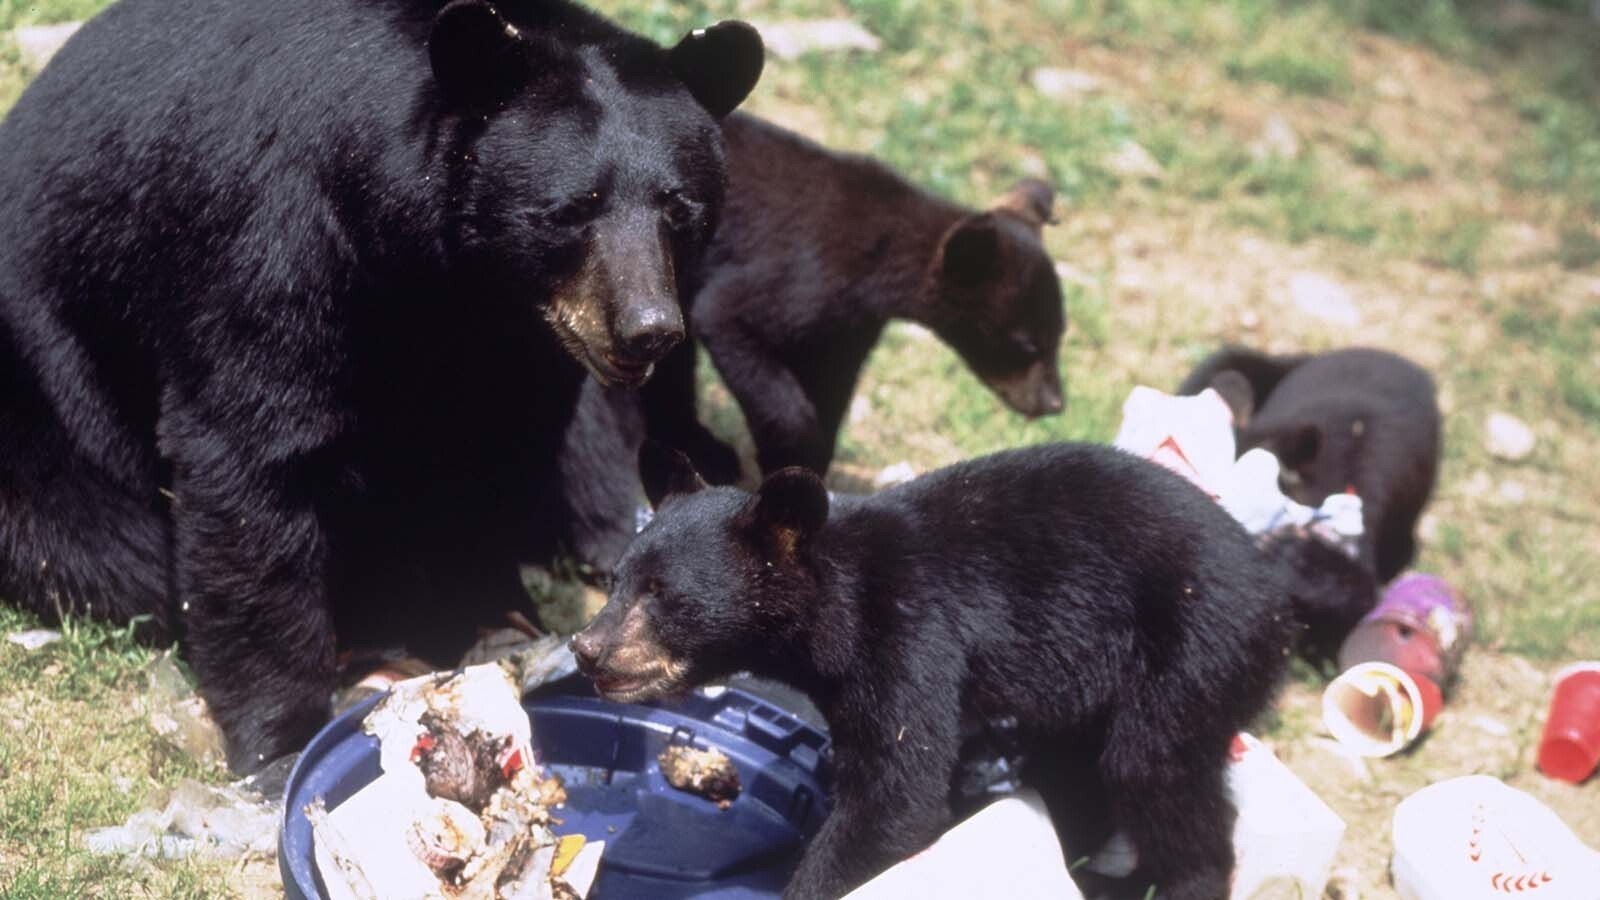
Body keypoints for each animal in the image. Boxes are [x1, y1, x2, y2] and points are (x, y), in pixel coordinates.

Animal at [0, 0, 761, 771]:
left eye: (680, 209)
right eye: (573, 210)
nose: (648, 329)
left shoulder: (512, 338)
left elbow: (486, 446)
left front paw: (489, 614)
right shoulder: (273, 238)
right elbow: (249, 456)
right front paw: (281, 737)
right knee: (105, 547)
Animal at [569, 441, 1292, 896]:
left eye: (664, 596)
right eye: (617, 578)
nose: (587, 647)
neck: (839, 604)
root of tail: (1278, 609)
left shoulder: (910, 640)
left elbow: (897, 798)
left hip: (1190, 651)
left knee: (1152, 769)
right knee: (1080, 772)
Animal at [636, 113, 1062, 483]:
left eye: (1060, 334)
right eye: (1027, 345)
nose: (1055, 403)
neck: (877, 264)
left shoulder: (848, 328)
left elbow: (833, 387)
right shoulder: (798, 277)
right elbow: (726, 316)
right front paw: (790, 456)